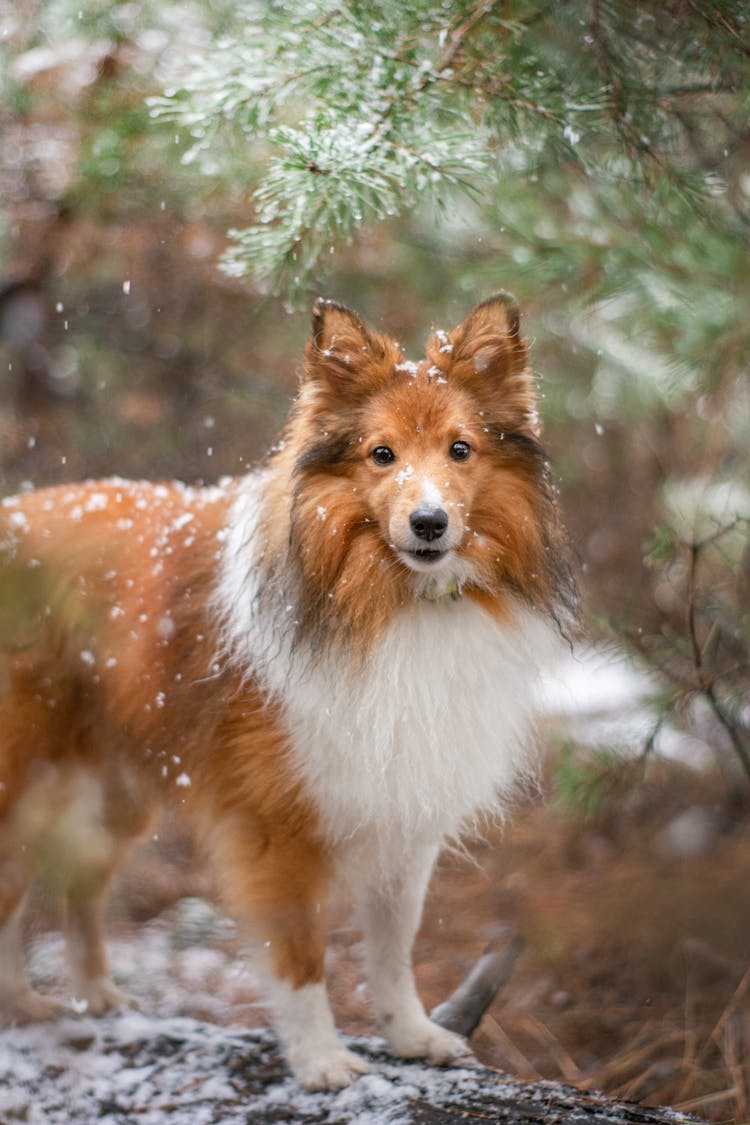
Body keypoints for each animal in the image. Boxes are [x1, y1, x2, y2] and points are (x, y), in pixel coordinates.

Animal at [0, 292, 575, 1089]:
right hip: (26, 779)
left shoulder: (400, 806)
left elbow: (393, 948)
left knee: (74, 888)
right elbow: (301, 954)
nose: (429, 523)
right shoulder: (276, 824)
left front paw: (411, 1035)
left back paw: (92, 996)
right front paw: (321, 1058)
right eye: (381, 454)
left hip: (110, 794)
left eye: (461, 450)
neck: (391, 598)